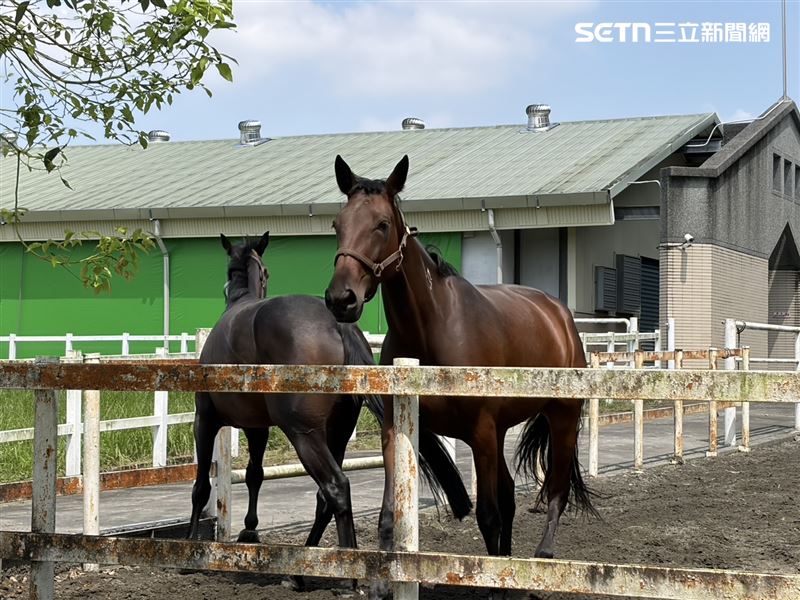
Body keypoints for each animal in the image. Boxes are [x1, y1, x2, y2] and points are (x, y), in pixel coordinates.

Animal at [188, 231, 470, 592]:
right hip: (337, 432)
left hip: (305, 435)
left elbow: (201, 488)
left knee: (336, 487)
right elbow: (254, 475)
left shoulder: (205, 420)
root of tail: (339, 326)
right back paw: (302, 572)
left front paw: (189, 551)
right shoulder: (257, 428)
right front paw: (249, 530)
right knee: (325, 497)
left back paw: (346, 570)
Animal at [325, 156, 597, 595]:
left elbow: (487, 515)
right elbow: (390, 515)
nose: (341, 299)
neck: (431, 330)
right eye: (337, 224)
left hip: (561, 418)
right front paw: (381, 583)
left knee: (554, 491)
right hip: (501, 432)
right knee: (510, 496)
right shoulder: (401, 430)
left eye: (381, 224)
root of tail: (560, 314)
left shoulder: (481, 431)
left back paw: (541, 556)